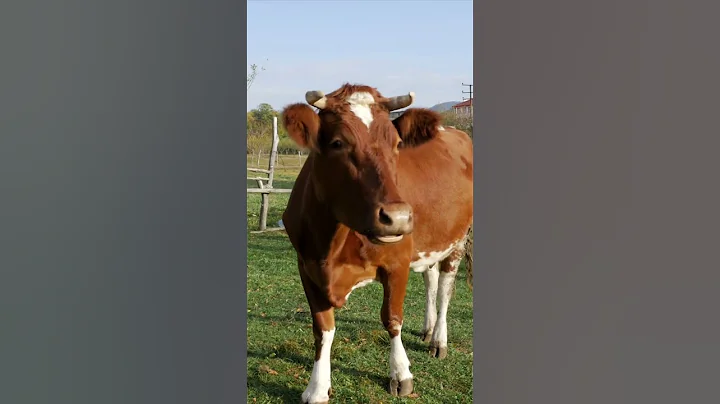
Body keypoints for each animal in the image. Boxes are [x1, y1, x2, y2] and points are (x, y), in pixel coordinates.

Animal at [281, 83, 473, 404]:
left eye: (396, 144)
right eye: (337, 142)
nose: (398, 218)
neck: (330, 246)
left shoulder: (398, 262)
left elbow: (392, 319)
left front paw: (401, 374)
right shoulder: (306, 266)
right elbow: (323, 328)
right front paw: (317, 387)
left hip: (459, 239)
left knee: (446, 287)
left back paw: (438, 340)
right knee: (431, 279)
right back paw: (428, 328)